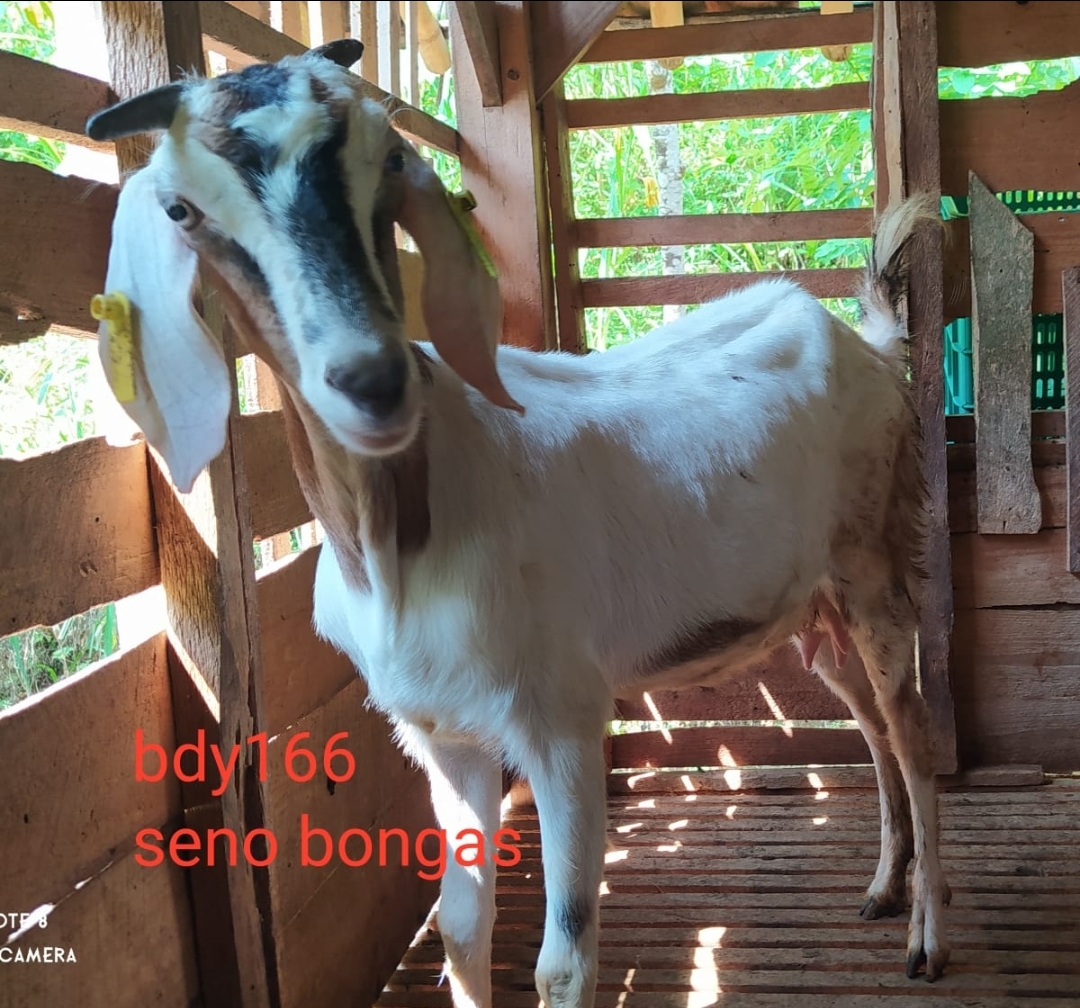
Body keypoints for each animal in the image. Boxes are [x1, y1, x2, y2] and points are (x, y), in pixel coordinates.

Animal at [86, 40, 951, 1008]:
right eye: (183, 209)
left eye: (387, 160)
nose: (372, 380)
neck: (397, 548)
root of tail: (867, 345)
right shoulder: (444, 738)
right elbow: (461, 928)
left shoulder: (562, 717)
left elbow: (563, 960)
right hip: (813, 605)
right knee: (869, 719)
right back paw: (883, 887)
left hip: (876, 564)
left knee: (914, 729)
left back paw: (927, 936)